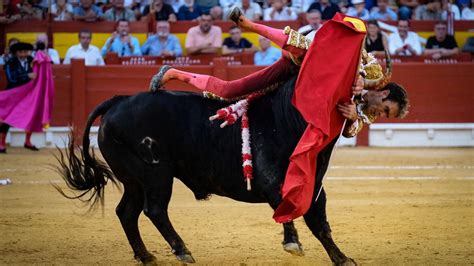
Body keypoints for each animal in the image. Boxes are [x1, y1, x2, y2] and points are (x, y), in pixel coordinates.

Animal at [56, 76, 356, 264]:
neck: (285, 118)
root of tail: (118, 100)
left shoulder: (315, 188)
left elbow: (320, 224)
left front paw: (342, 259)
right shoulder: (275, 181)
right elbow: (290, 212)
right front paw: (294, 244)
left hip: (134, 181)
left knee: (126, 212)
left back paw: (147, 256)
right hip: (155, 174)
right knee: (154, 210)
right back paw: (182, 252)